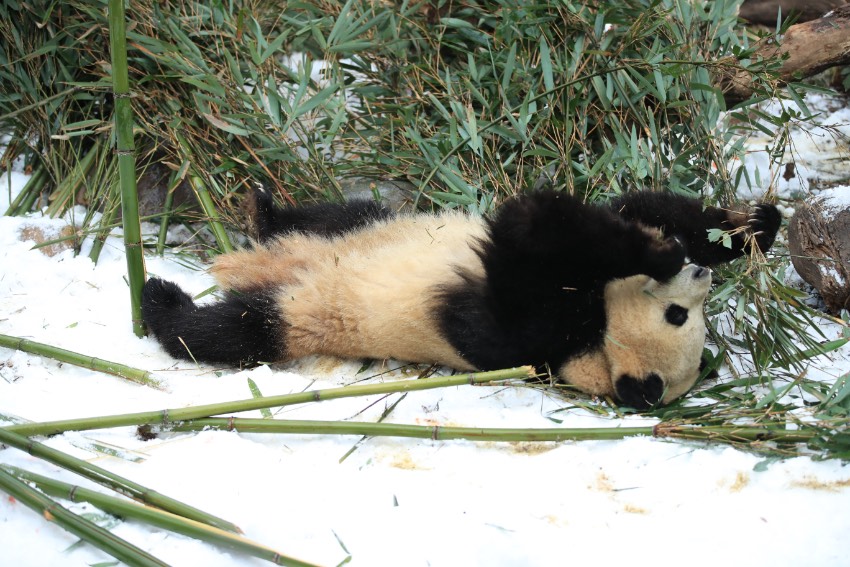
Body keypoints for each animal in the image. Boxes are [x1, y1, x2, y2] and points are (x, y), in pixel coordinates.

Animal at [142, 189, 780, 409]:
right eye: (680, 314)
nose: (698, 277)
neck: (590, 349)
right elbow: (633, 207)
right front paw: (746, 226)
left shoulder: (527, 336)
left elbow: (531, 244)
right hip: (367, 227)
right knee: (329, 216)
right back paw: (262, 211)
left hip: (309, 310)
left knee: (231, 330)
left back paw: (161, 297)